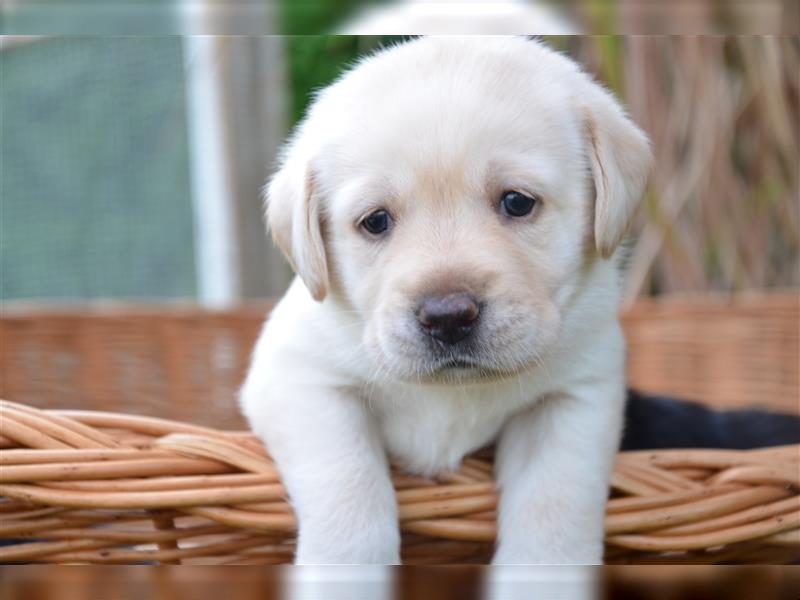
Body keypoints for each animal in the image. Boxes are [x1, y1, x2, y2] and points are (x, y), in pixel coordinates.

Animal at [241, 36, 652, 564]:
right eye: (375, 221)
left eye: (517, 202)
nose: (448, 318)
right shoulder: (299, 378)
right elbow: (348, 482)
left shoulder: (575, 395)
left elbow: (554, 506)